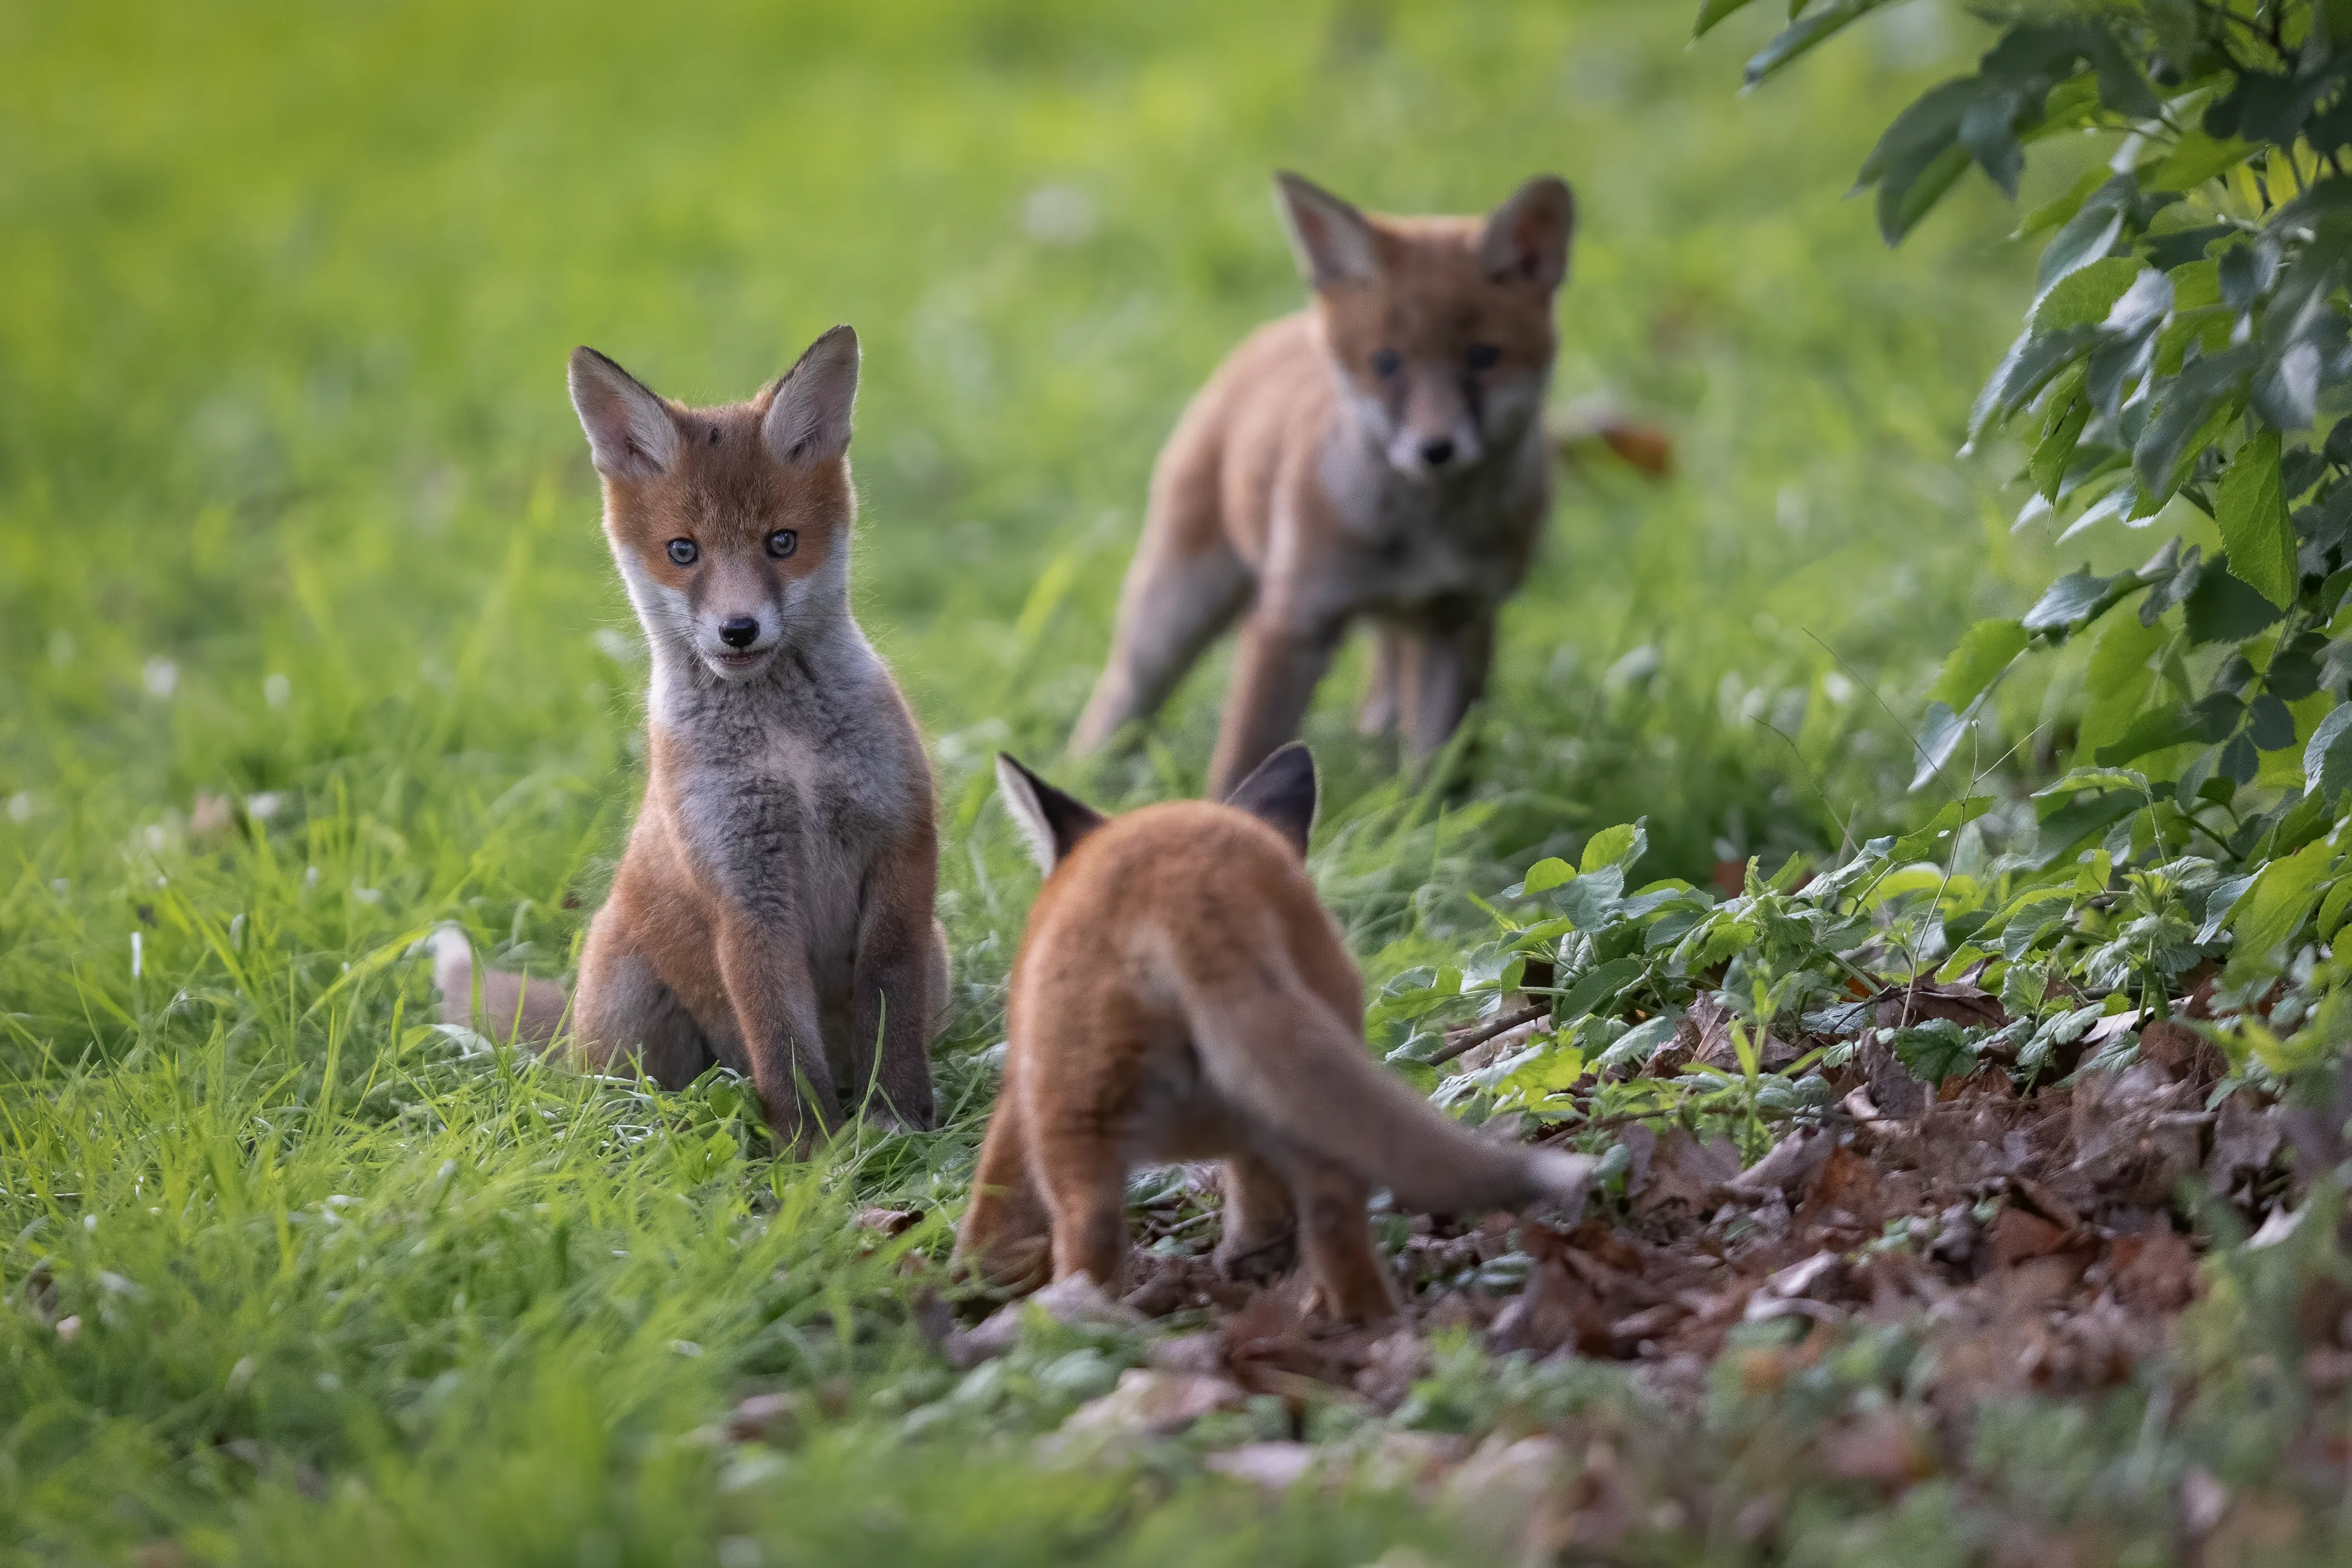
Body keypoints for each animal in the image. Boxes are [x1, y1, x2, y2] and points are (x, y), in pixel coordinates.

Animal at [433, 326, 947, 1152]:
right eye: (683, 551)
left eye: (781, 542)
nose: (738, 630)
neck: (788, 752)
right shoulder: (743, 890)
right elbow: (780, 1039)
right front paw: (813, 1151)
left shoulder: (901, 850)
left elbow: (888, 1004)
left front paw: (896, 1118)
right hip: (633, 1022)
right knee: (644, 1091)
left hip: (941, 957)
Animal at [956, 742, 1594, 1323]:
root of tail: (1192, 889)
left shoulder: (1020, 1093)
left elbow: (993, 1198)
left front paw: (972, 1277)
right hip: (1308, 1085)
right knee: (1335, 1215)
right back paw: (1368, 1325)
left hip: (1074, 1115)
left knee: (1088, 1243)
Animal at [1070, 171, 1579, 798]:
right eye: (1386, 363)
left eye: (1484, 357)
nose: (1435, 450)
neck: (1423, 536)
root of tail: (1286, 325)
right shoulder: (1293, 621)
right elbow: (1244, 758)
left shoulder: (1459, 619)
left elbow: (1439, 771)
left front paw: (1432, 822)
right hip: (1174, 608)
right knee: (1118, 698)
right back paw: (1080, 773)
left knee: (1383, 700)